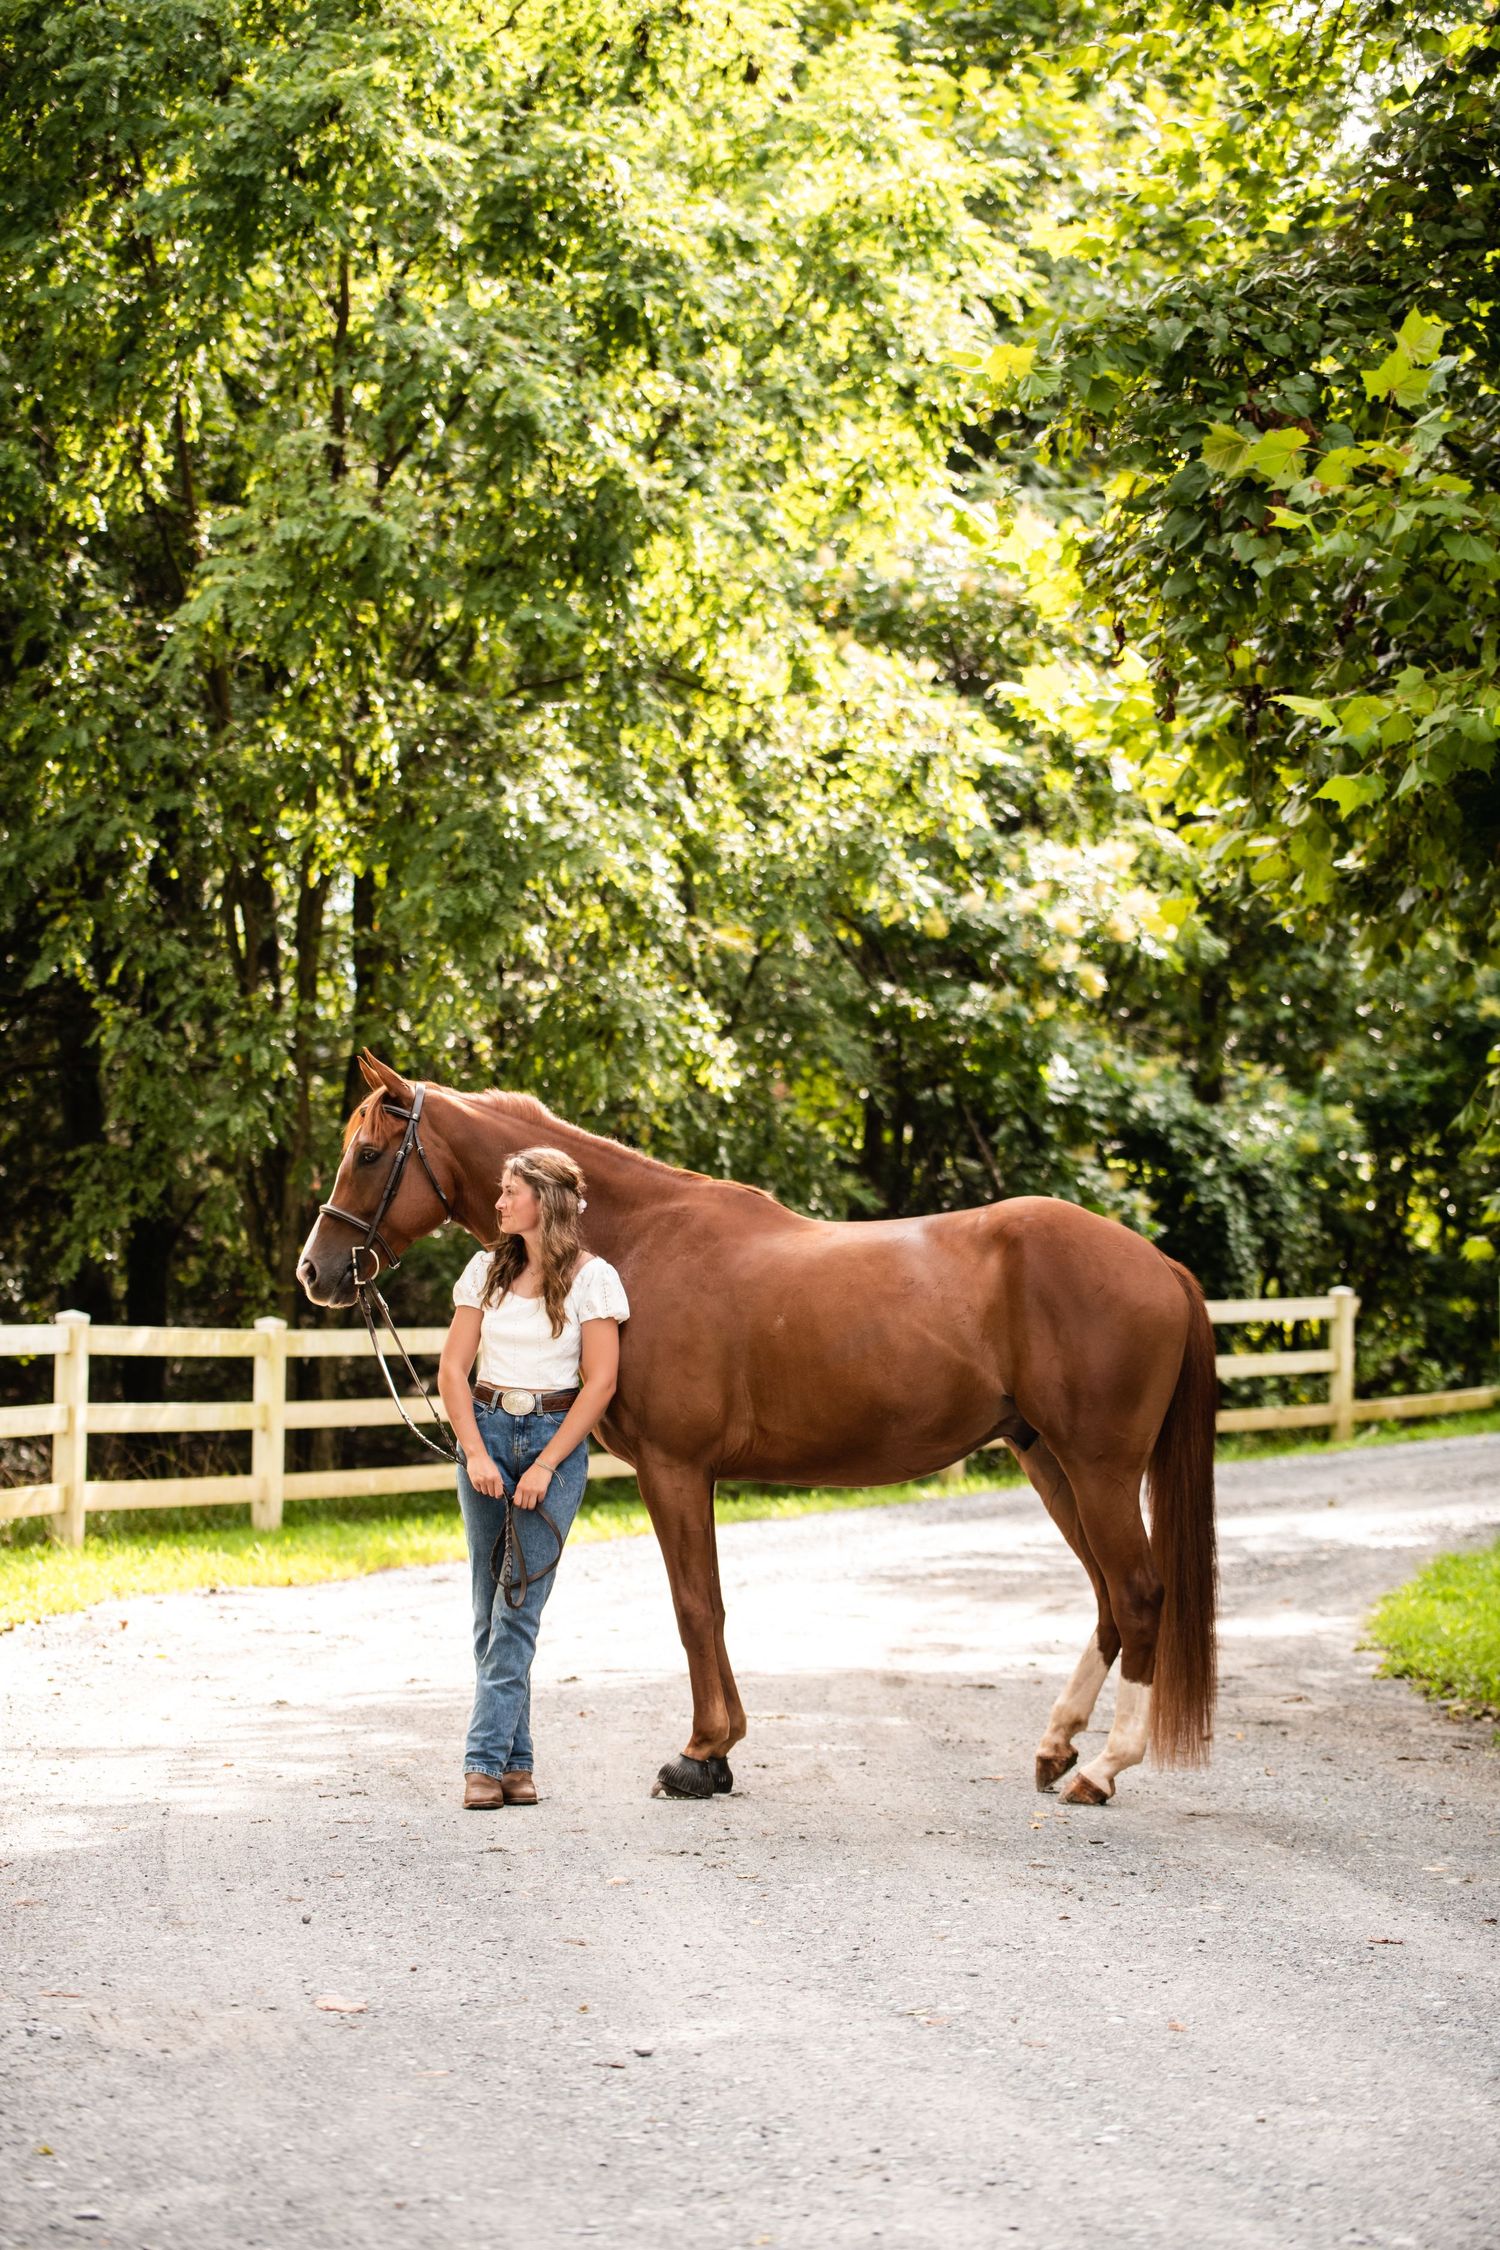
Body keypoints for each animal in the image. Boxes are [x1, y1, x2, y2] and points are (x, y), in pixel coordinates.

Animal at [297, 1052, 1217, 1805]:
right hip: (1050, 1463)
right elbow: (706, 1604)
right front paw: (719, 1752)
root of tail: (1161, 1264)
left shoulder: (675, 1468)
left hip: (1097, 1468)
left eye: (369, 1154)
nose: (317, 1270)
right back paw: (1057, 1748)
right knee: (1108, 1601)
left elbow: (694, 1606)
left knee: (1139, 1596)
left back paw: (1103, 1770)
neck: (636, 1240)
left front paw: (703, 1754)